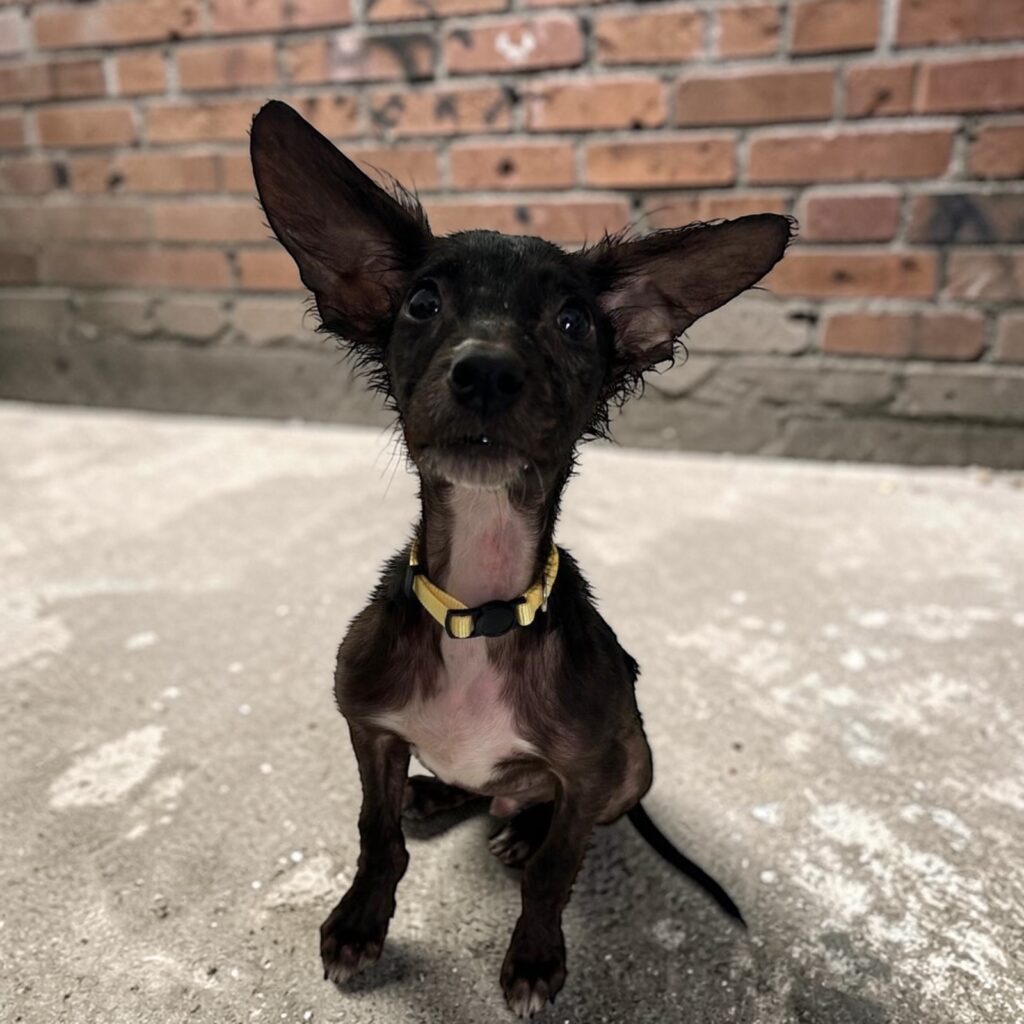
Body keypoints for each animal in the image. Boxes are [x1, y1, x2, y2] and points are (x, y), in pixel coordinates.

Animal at [250, 99, 793, 1018]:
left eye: (573, 323)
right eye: (421, 303)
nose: (486, 374)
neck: (480, 613)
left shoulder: (588, 764)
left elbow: (554, 873)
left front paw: (535, 959)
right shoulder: (370, 727)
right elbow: (377, 835)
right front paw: (360, 922)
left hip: (633, 759)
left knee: (547, 811)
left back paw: (517, 823)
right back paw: (440, 791)